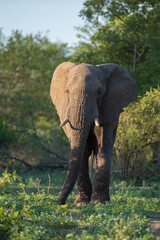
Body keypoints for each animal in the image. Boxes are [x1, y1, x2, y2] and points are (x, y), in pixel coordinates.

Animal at [49, 61, 135, 205]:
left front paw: (99, 202)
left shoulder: (108, 108)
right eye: (67, 91)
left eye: (99, 92)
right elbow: (81, 150)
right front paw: (81, 203)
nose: (60, 202)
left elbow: (102, 145)